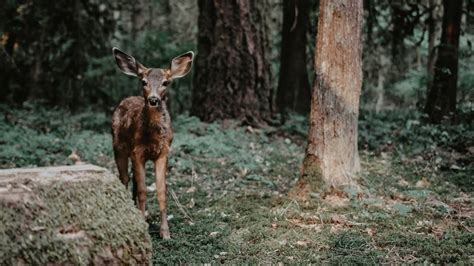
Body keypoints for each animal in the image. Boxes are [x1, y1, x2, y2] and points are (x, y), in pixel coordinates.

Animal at [110, 47, 193, 239]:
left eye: (166, 82)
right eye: (143, 81)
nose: (153, 99)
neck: (153, 138)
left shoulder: (164, 152)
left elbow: (161, 191)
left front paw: (165, 232)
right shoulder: (137, 152)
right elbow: (143, 190)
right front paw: (143, 226)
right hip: (118, 147)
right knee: (124, 179)